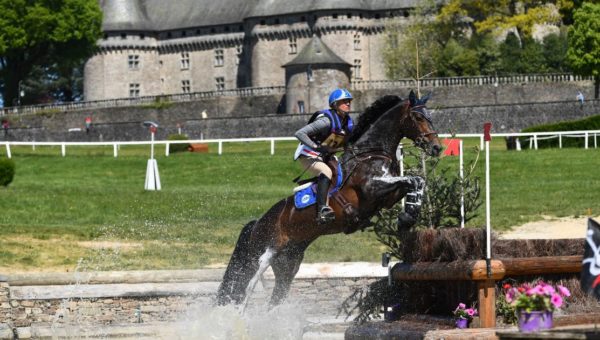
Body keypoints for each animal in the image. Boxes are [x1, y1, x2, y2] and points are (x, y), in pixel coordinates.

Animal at [216, 90, 440, 308]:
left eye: (430, 116)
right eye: (419, 117)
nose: (437, 148)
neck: (372, 153)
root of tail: (257, 223)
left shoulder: (387, 197)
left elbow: (417, 181)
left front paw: (408, 216)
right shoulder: (373, 187)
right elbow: (413, 179)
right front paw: (407, 217)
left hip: (289, 262)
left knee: (275, 298)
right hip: (267, 252)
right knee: (248, 288)